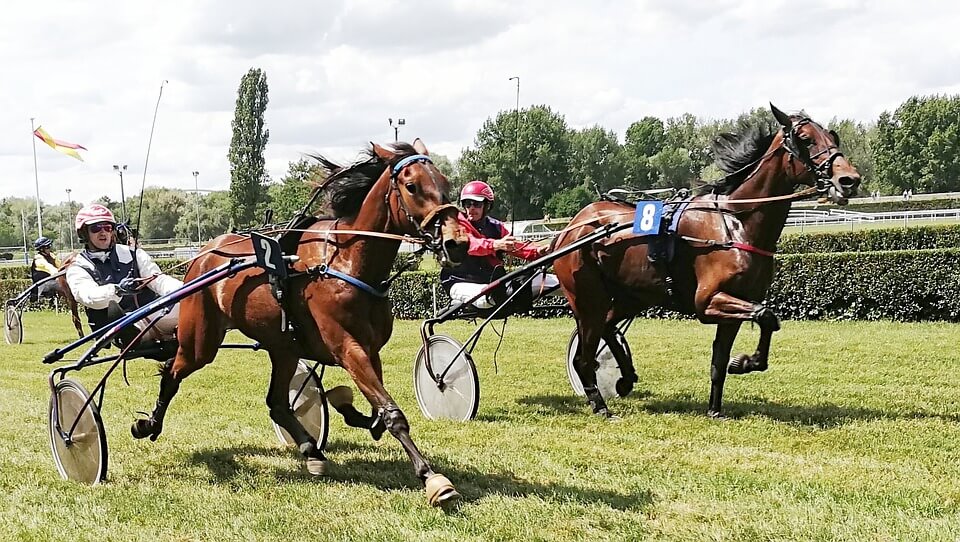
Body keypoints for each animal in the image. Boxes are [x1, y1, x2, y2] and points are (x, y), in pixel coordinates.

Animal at [128, 141, 472, 510]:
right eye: (411, 186)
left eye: (445, 183)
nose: (456, 242)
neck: (346, 262)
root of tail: (204, 253)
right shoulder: (348, 348)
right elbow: (391, 414)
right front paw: (432, 478)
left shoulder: (370, 349)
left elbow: (375, 412)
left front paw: (346, 407)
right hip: (201, 341)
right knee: (172, 372)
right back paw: (148, 424)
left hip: (283, 348)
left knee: (277, 403)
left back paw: (311, 451)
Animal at [556, 106, 864, 420]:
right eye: (805, 139)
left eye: (832, 136)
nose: (849, 180)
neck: (736, 222)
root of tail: (571, 228)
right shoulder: (708, 301)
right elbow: (766, 315)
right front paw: (744, 362)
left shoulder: (739, 301)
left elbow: (725, 355)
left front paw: (718, 404)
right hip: (587, 298)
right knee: (583, 357)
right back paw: (601, 405)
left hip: (631, 296)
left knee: (608, 327)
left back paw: (626, 377)